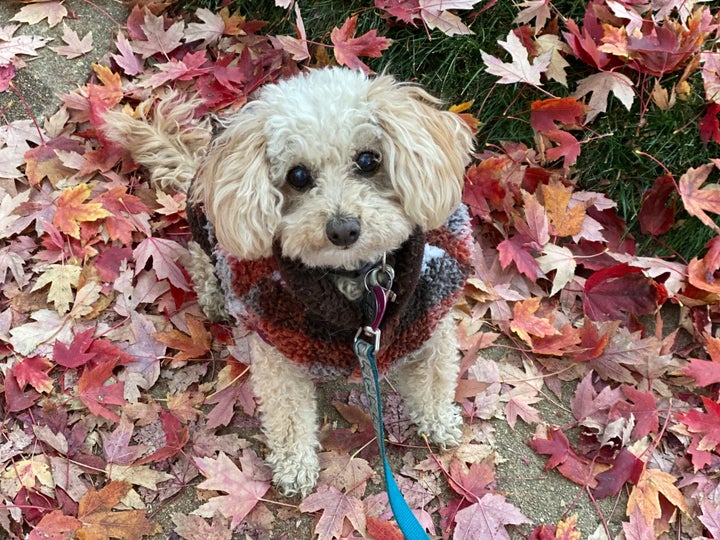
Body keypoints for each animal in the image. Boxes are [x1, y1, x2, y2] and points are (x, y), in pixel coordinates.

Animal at [101, 68, 472, 498]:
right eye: (298, 175)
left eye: (368, 160)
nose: (343, 229)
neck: (357, 280)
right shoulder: (278, 349)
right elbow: (289, 414)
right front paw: (295, 466)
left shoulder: (430, 319)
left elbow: (436, 380)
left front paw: (440, 422)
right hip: (208, 237)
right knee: (197, 258)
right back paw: (213, 297)